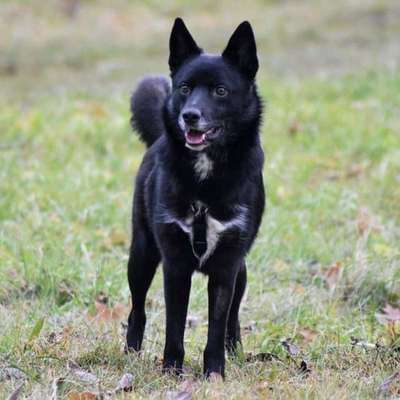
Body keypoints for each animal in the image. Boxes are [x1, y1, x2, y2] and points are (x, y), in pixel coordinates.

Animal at [126, 16, 264, 378]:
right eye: (185, 88)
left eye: (220, 91)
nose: (189, 115)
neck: (205, 180)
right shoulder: (175, 265)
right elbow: (174, 323)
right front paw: (172, 369)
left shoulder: (227, 267)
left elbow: (217, 322)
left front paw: (215, 372)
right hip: (141, 254)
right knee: (137, 308)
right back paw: (131, 350)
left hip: (242, 272)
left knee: (233, 316)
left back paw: (235, 349)